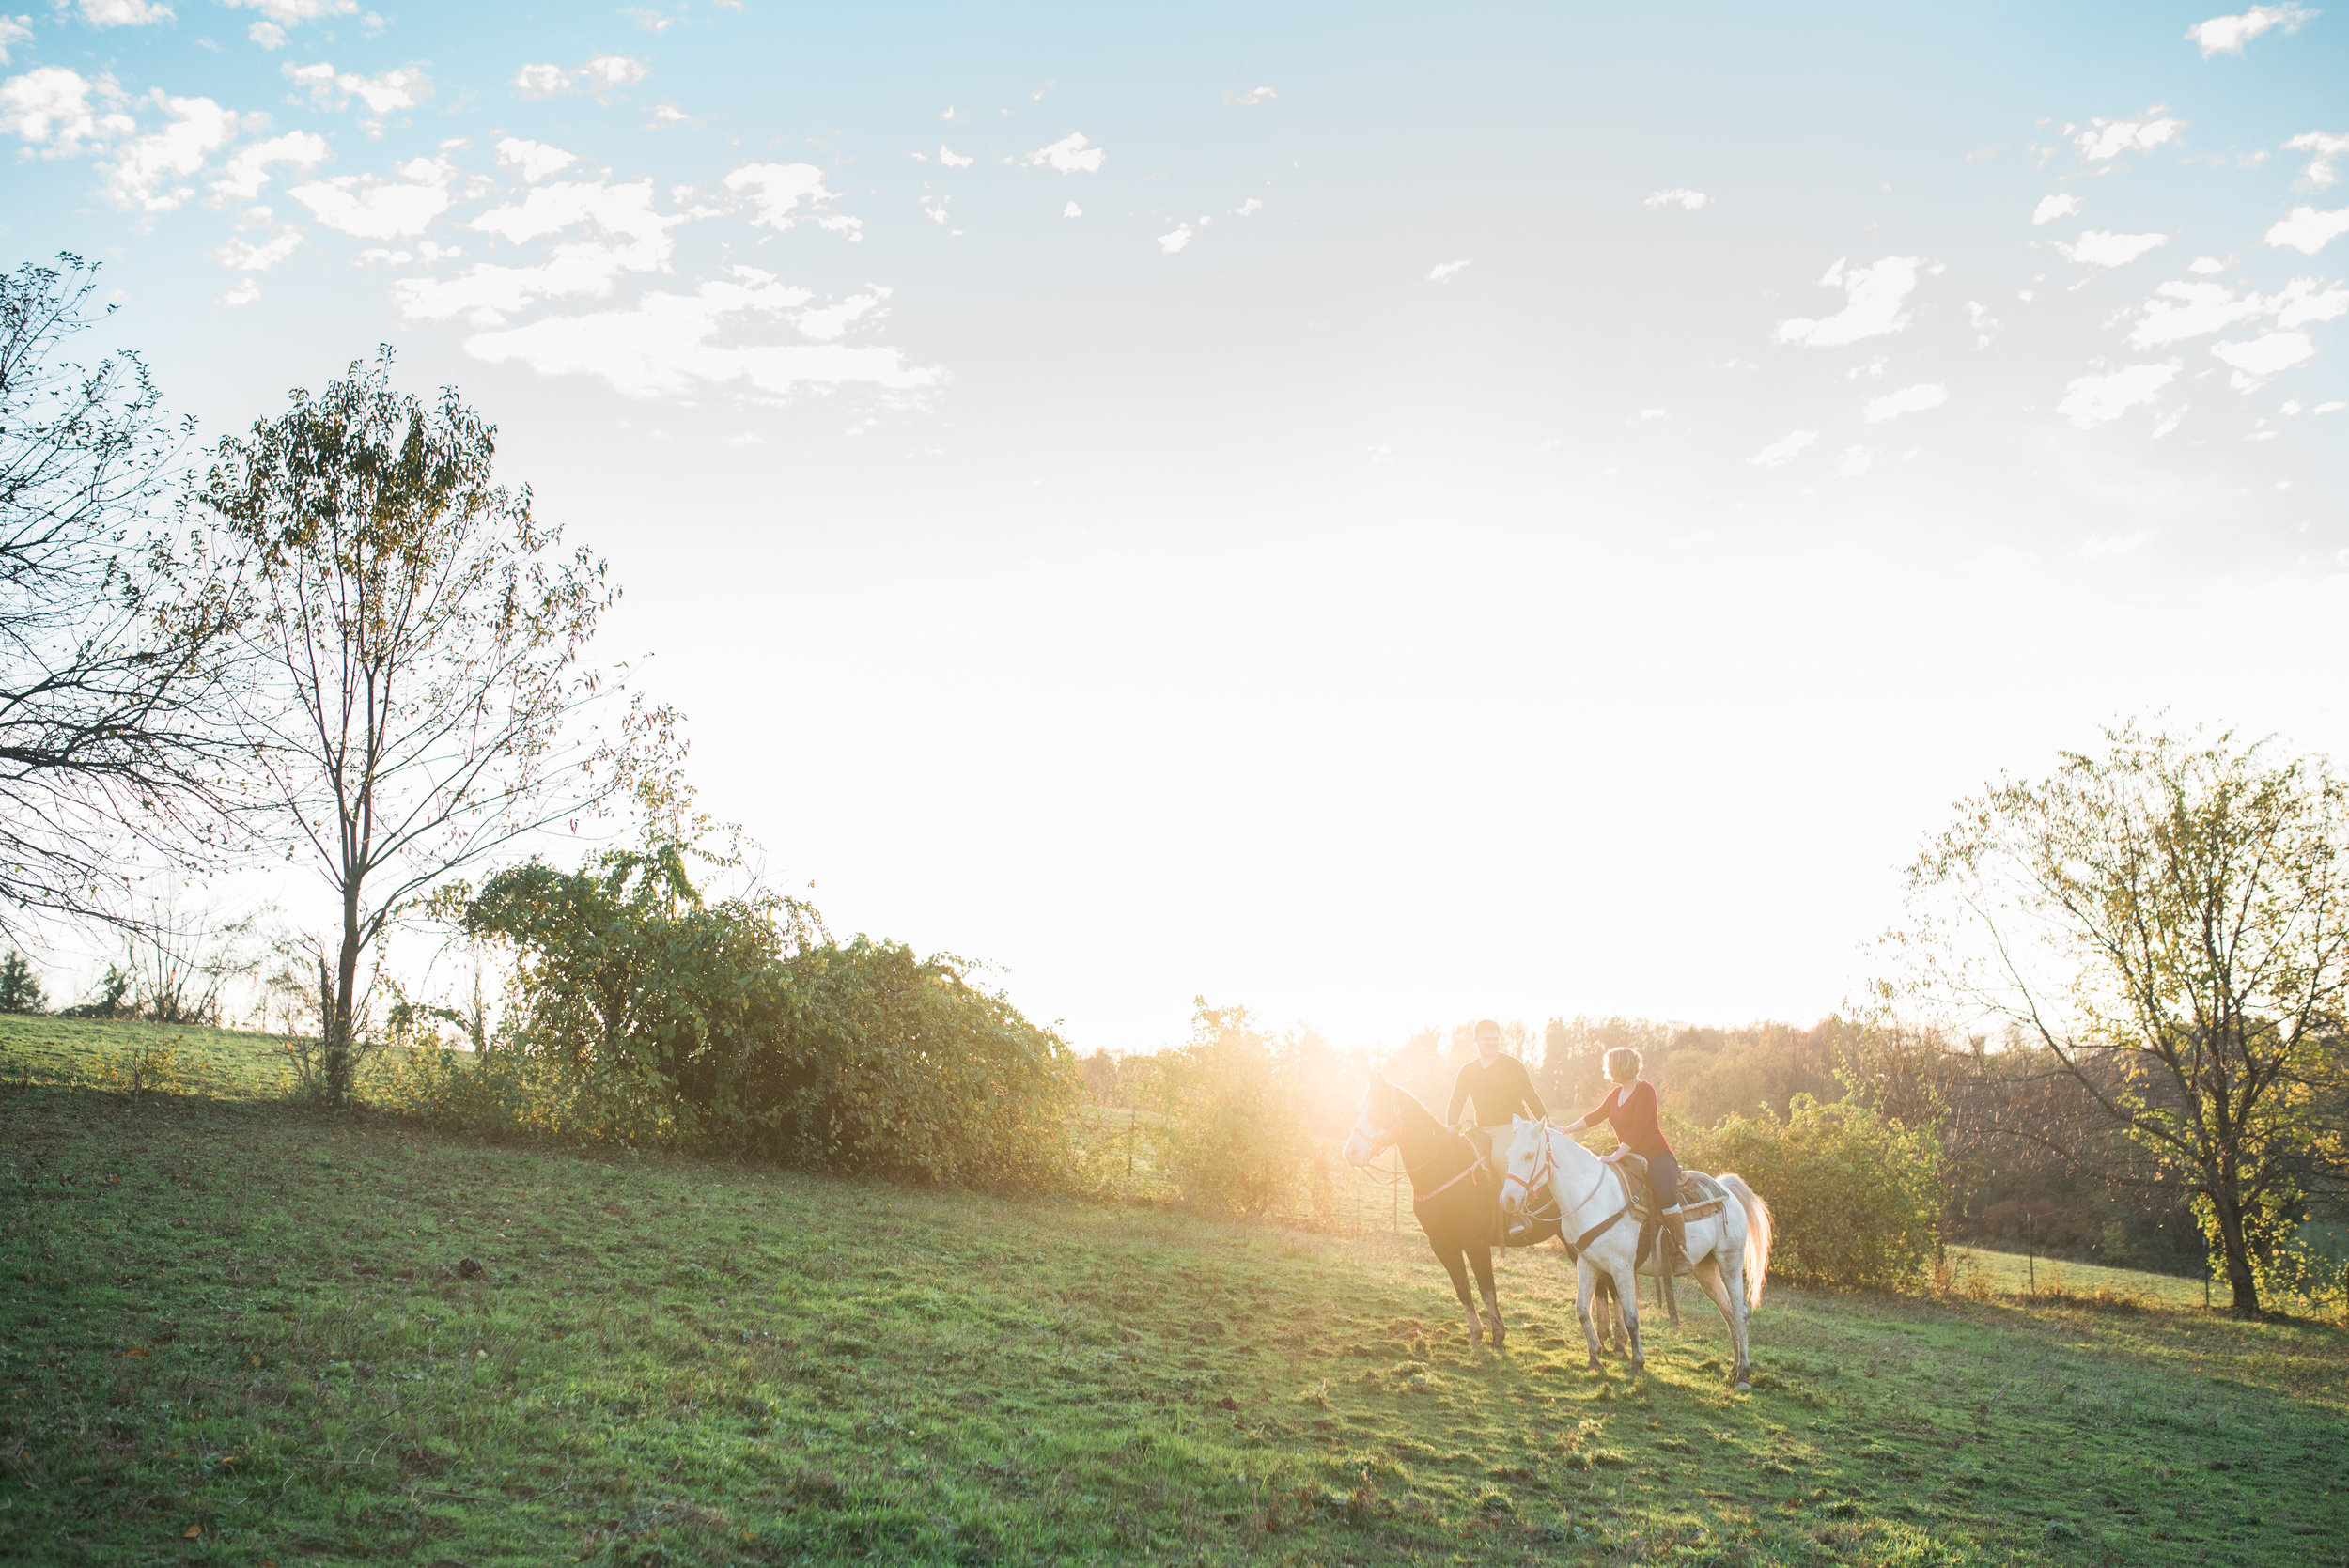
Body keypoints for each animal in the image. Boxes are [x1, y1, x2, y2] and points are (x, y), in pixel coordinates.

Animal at [1344, 1079, 1503, 1352]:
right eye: (1359, 1110)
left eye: (1378, 1111)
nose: (1350, 1152)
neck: (1446, 1165)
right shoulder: (1443, 1243)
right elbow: (1463, 1288)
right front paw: (1476, 1334)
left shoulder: (1476, 1242)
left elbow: (1486, 1289)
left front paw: (1498, 1336)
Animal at [1494, 1112, 1766, 1380]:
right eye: (1508, 1154)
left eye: (1529, 1155)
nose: (1507, 1201)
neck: (1594, 1198)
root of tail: (1727, 1191)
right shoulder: (1587, 1262)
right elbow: (1582, 1308)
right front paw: (1595, 1358)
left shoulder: (1621, 1267)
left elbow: (1631, 1317)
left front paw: (1636, 1364)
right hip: (1705, 1268)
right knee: (1727, 1311)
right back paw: (1734, 1366)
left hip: (1729, 1261)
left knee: (1740, 1311)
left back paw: (1744, 1373)